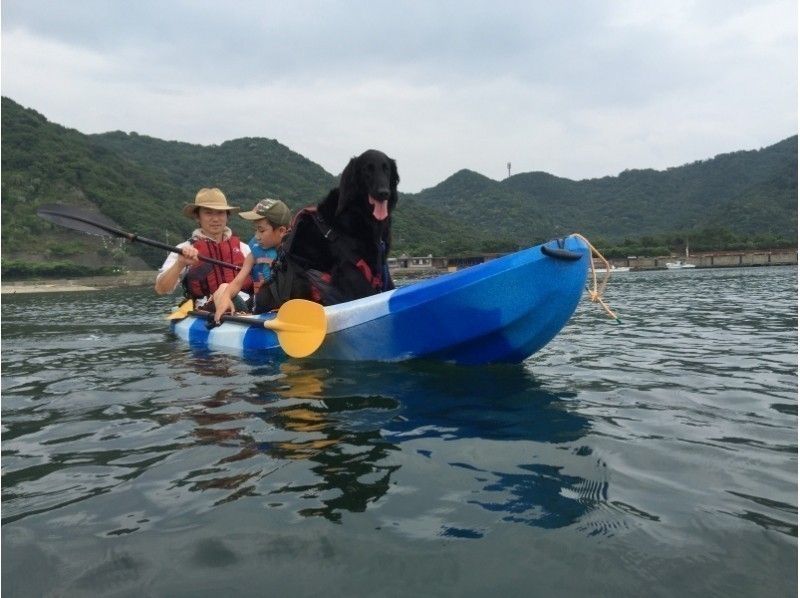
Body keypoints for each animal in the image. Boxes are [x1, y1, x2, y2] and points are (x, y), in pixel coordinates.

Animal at [256, 149, 400, 312]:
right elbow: (367, 292)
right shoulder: (347, 267)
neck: (362, 215)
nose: (384, 193)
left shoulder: (380, 265)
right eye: (366, 170)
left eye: (386, 169)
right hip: (298, 279)